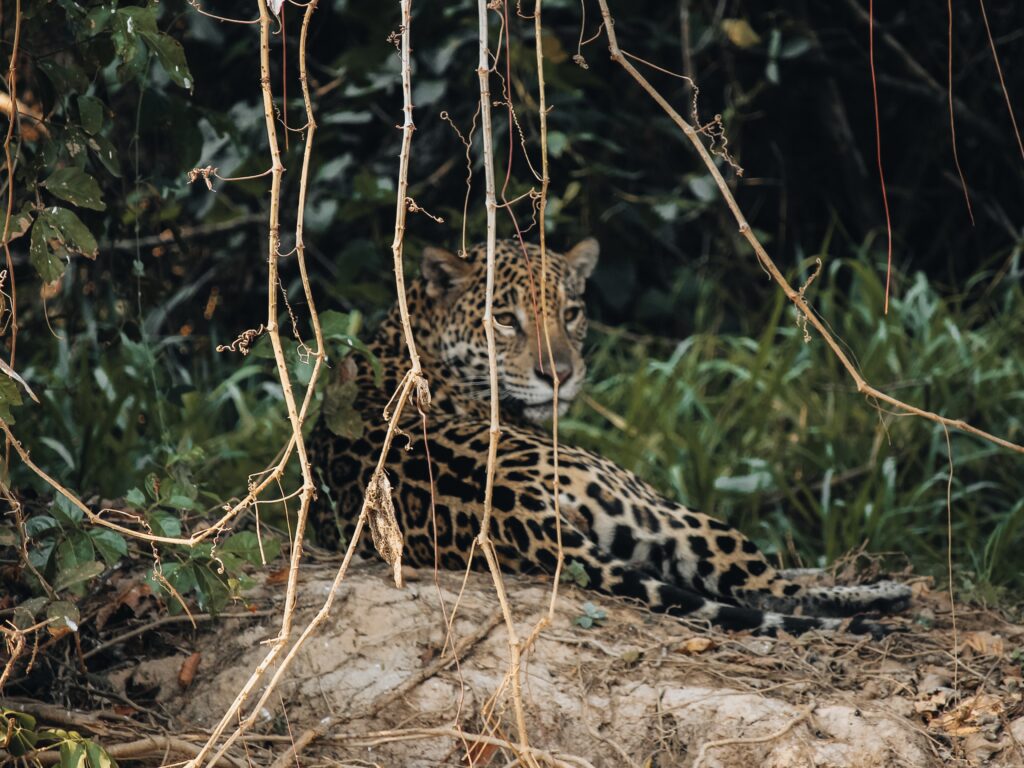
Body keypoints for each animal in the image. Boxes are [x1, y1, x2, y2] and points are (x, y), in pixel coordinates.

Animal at [309, 237, 911, 637]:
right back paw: (886, 594)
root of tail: (518, 511)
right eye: (504, 319)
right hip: (657, 505)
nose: (560, 375)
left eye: (572, 313)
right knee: (771, 588)